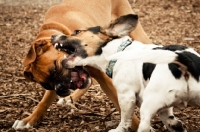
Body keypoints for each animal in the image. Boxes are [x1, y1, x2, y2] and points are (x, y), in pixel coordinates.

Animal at [11, 0, 151, 130]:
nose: (61, 90)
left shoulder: (104, 78)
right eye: (46, 85)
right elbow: (44, 102)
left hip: (138, 34)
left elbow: (120, 104)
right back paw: (69, 98)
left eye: (55, 68)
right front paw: (29, 120)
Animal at [50, 13, 199, 131]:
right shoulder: (165, 109)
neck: (118, 50)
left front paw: (119, 129)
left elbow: (125, 119)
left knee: (144, 126)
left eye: (76, 32)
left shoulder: (126, 97)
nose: (52, 36)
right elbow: (173, 122)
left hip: (148, 105)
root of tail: (183, 61)